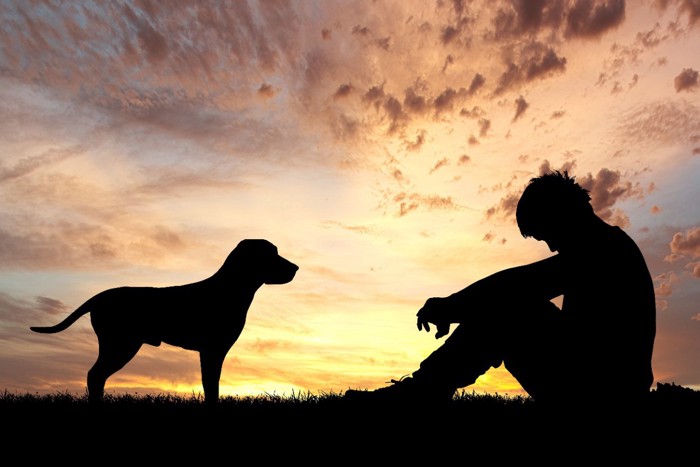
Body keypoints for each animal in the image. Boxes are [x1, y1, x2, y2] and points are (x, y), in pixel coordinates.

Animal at [29, 239, 298, 404]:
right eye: (271, 254)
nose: (296, 267)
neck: (230, 289)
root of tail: (100, 296)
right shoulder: (212, 351)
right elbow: (211, 385)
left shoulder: (212, 352)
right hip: (121, 345)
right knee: (95, 375)